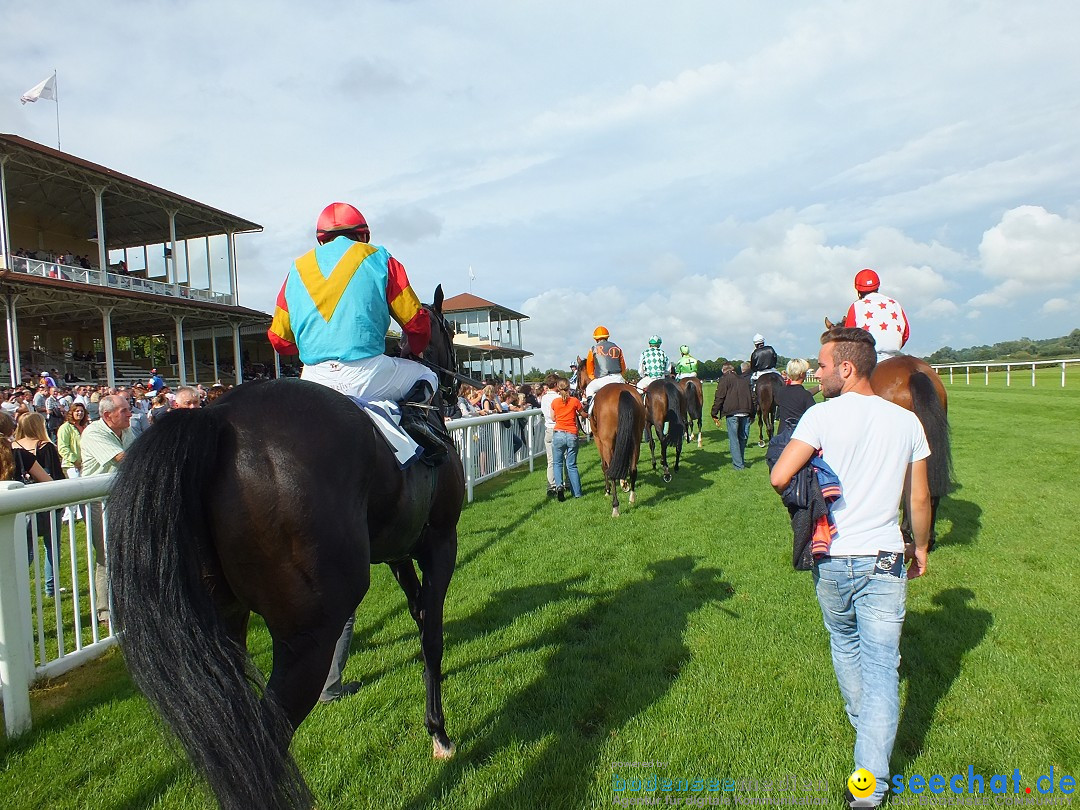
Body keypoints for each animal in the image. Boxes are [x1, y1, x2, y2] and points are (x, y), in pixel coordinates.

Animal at [107, 289, 466, 807]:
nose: (455, 390)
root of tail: (214, 417)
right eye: (451, 334)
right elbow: (432, 633)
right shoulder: (440, 539)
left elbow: (419, 615)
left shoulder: (398, 549)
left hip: (223, 619)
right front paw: (438, 732)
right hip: (309, 631)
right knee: (265, 738)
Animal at [578, 358, 643, 516]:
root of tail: (623, 392)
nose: (577, 390)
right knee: (633, 468)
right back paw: (632, 498)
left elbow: (604, 465)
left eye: (577, 374)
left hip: (607, 441)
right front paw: (624, 483)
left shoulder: (599, 439)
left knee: (610, 469)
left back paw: (615, 507)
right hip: (636, 438)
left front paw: (607, 490)